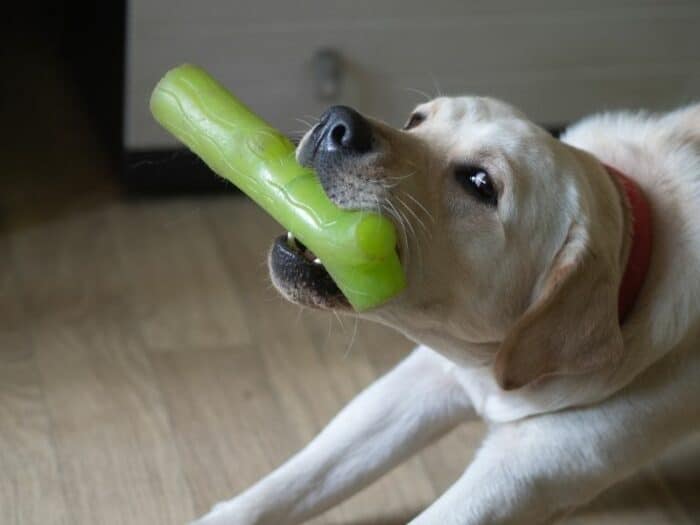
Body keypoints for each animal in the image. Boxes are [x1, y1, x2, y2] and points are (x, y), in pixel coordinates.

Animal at [196, 99, 700, 524]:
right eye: (415, 119)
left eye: (481, 183)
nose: (338, 123)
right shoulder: (419, 381)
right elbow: (304, 474)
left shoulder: (533, 466)